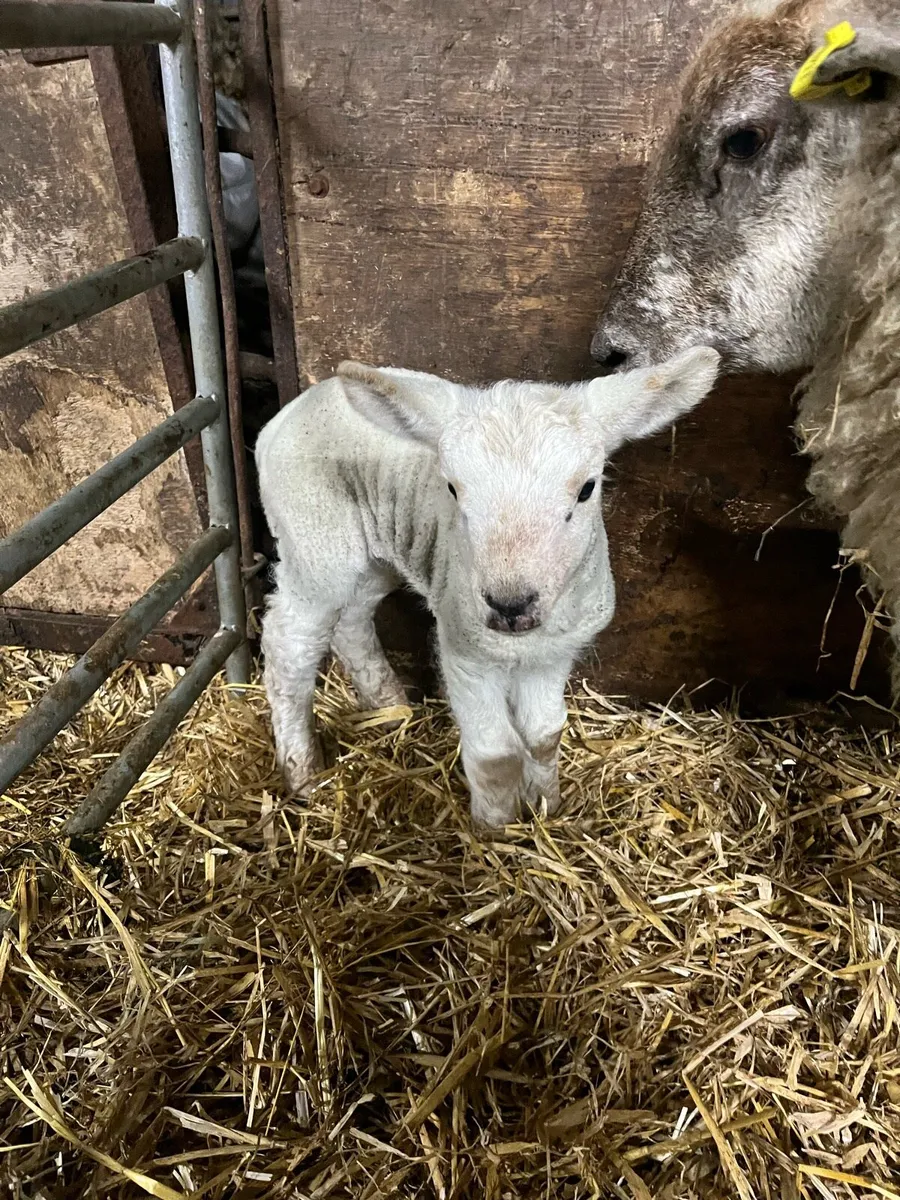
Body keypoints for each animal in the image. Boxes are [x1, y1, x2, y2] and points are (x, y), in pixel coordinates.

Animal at [256, 349, 719, 828]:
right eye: (452, 488)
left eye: (587, 489)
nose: (509, 603)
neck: (523, 637)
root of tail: (293, 410)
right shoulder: (466, 651)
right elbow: (496, 754)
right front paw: (495, 828)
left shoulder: (554, 652)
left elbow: (544, 735)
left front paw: (546, 806)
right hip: (316, 543)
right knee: (289, 643)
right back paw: (303, 773)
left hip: (374, 555)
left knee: (352, 619)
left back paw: (390, 707)